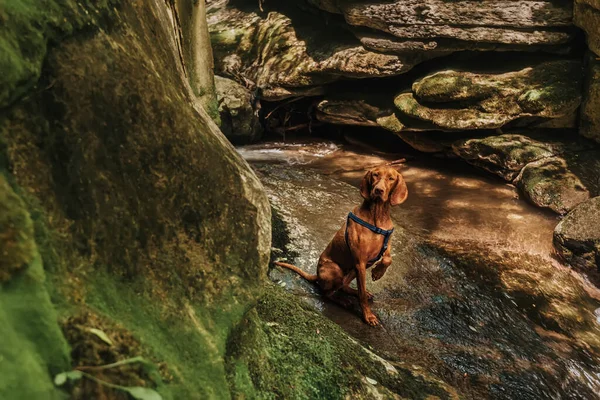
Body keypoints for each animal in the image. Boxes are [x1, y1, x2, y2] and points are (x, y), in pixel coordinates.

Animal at [274, 166, 408, 324]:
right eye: (375, 175)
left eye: (391, 178)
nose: (378, 190)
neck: (377, 215)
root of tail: (317, 275)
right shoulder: (360, 261)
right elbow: (362, 295)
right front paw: (368, 316)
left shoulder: (384, 246)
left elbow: (388, 259)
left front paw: (378, 272)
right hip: (337, 270)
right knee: (327, 293)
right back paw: (343, 301)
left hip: (354, 269)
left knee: (344, 286)